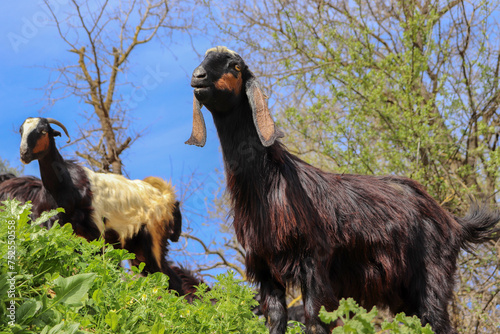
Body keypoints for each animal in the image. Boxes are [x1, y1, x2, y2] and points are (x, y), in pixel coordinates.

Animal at [187, 46, 500, 334]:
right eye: (205, 59)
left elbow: (315, 320)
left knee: (437, 321)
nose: (198, 76)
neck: (270, 184)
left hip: (432, 277)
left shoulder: (315, 264)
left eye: (235, 66)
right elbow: (275, 321)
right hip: (402, 293)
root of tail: (452, 221)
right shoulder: (265, 269)